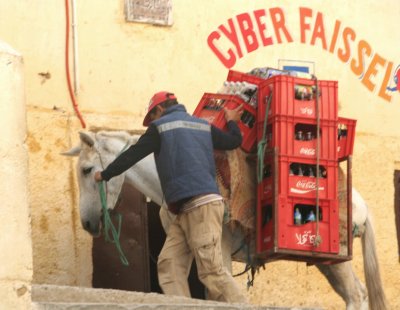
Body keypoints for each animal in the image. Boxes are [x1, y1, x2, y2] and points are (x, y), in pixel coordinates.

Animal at [62, 131, 388, 310]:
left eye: (87, 169)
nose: (87, 224)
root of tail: (362, 204)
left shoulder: (220, 252)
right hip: (326, 262)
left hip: (335, 259)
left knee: (356, 295)